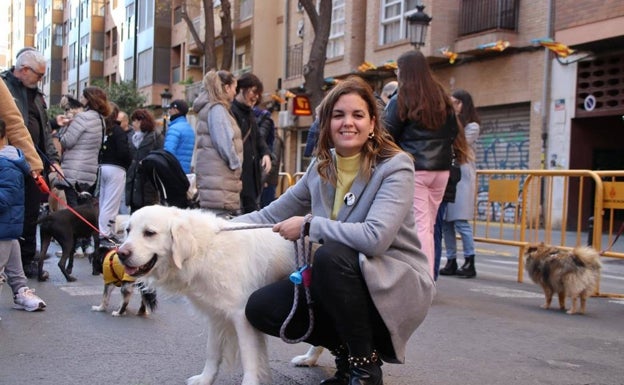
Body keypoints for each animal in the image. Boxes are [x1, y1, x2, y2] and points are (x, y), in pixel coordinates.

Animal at [117, 206, 298, 384]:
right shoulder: (216, 314)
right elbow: (212, 352)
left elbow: (249, 358)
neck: (203, 250)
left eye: (149, 233)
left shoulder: (241, 316)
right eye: (128, 230)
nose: (121, 253)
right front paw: (205, 379)